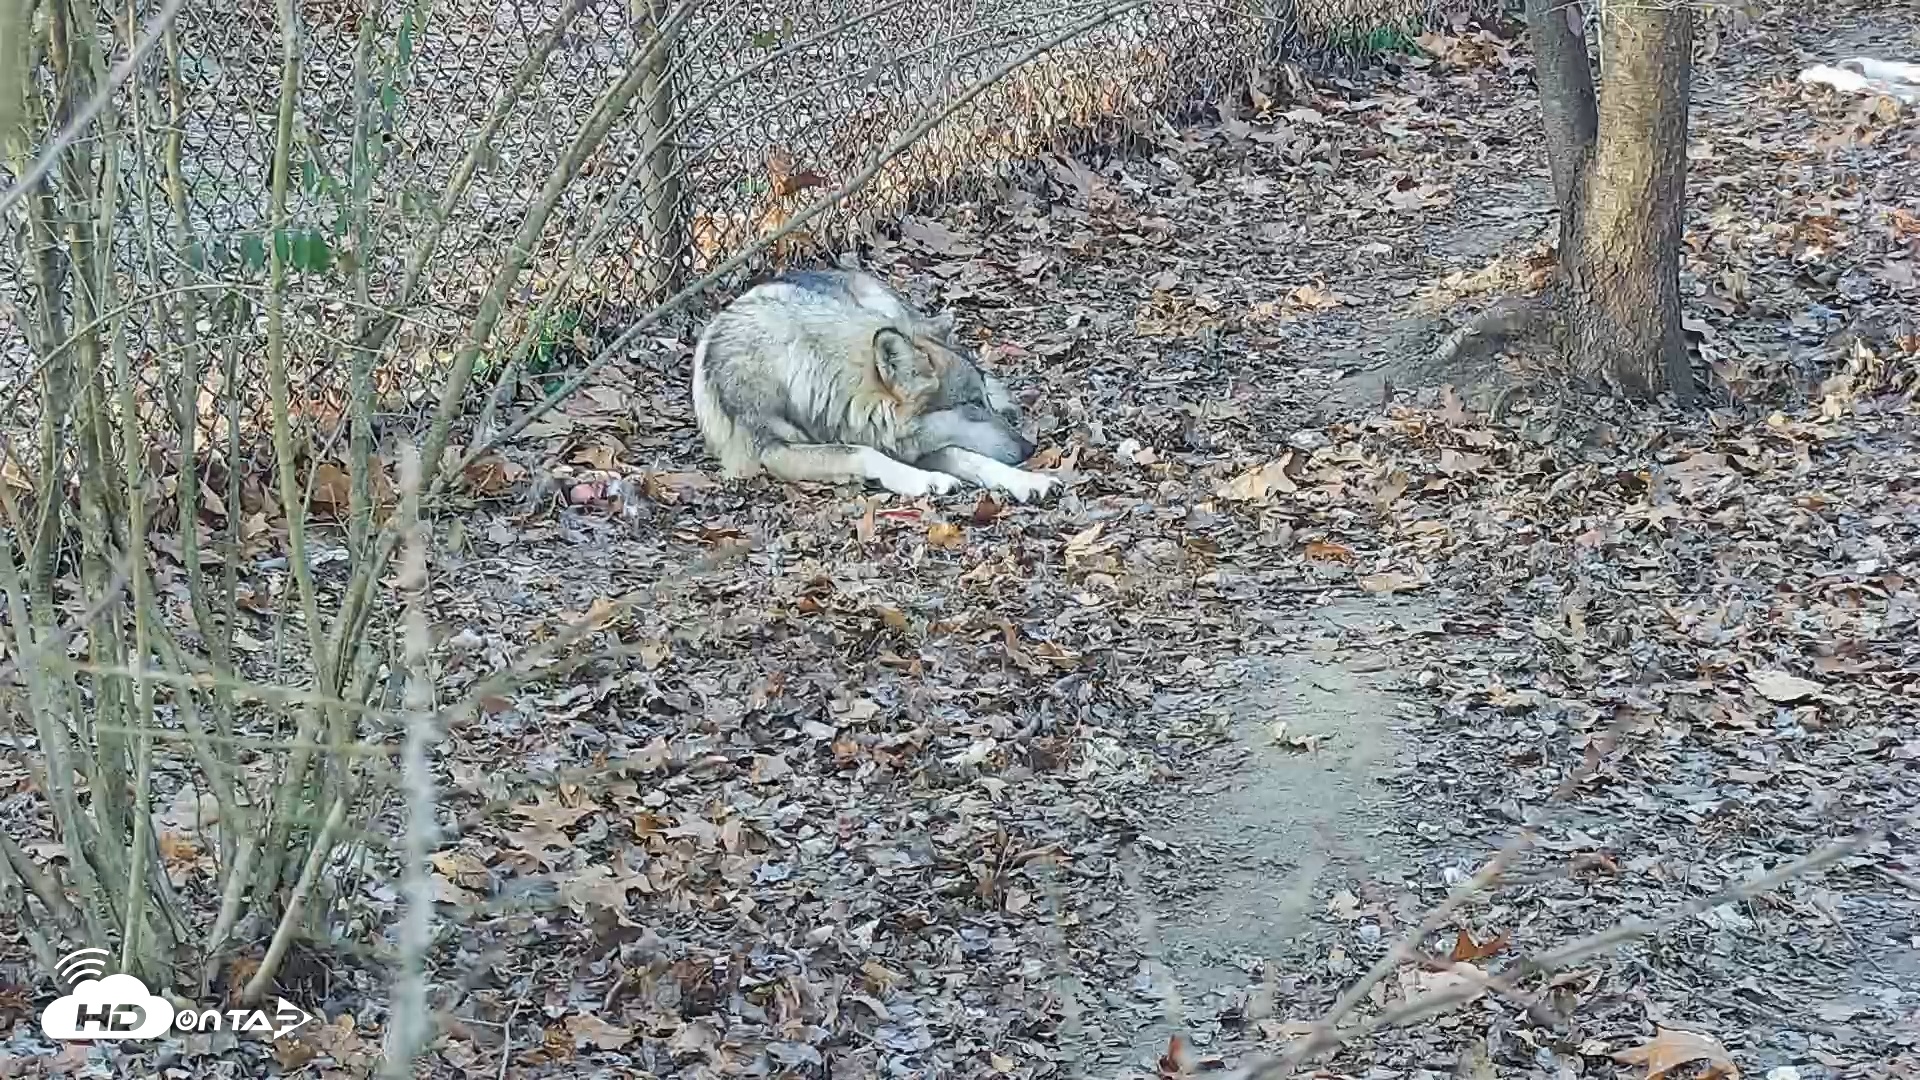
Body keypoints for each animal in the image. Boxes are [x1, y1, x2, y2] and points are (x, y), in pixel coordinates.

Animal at [691, 268, 1058, 502]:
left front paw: (1027, 481)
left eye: (983, 401)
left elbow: (969, 457)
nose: (1029, 448)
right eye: (972, 405)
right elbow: (862, 452)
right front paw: (927, 480)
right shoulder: (775, 453)